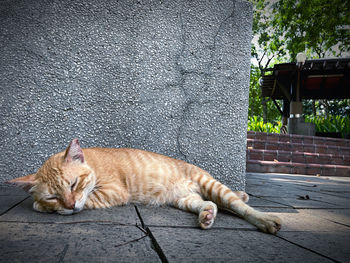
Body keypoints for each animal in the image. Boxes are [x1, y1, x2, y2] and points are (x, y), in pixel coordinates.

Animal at [8, 139, 282, 234]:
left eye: (74, 184)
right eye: (53, 196)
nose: (70, 205)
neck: (94, 163)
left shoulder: (112, 192)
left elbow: (88, 201)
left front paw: (41, 207)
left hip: (211, 185)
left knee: (238, 206)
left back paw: (266, 219)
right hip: (185, 199)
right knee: (210, 204)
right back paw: (207, 215)